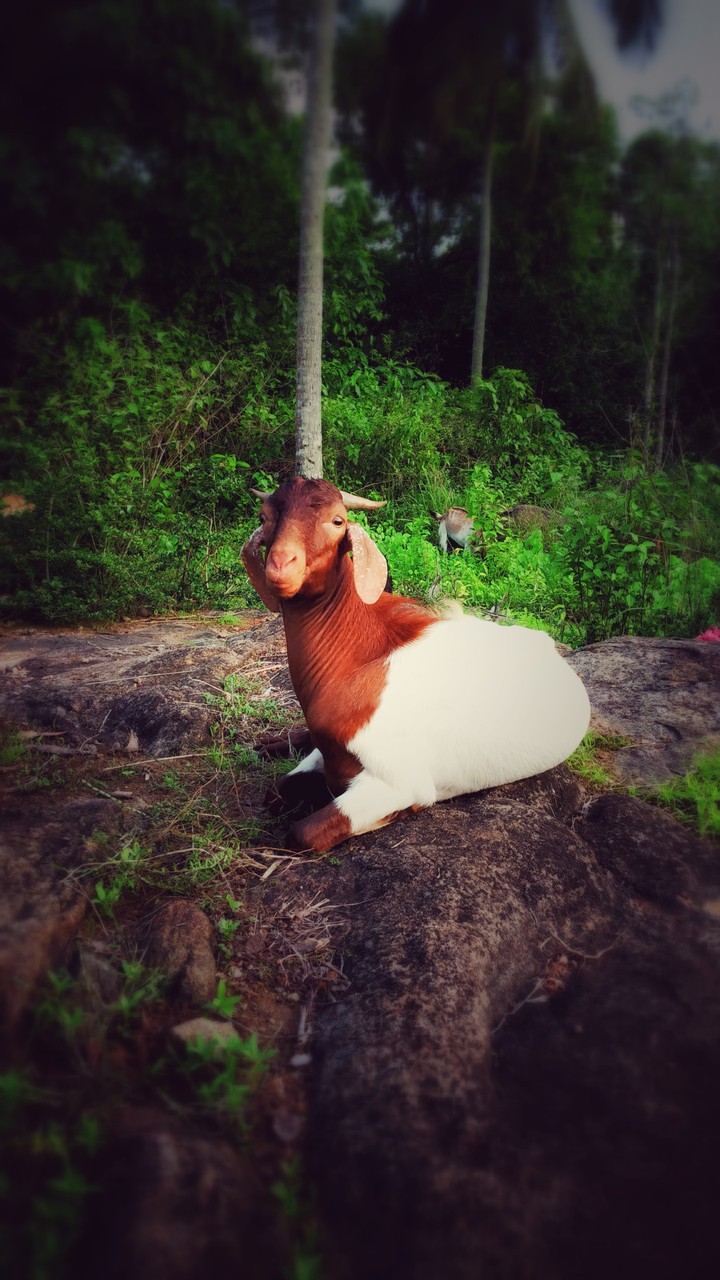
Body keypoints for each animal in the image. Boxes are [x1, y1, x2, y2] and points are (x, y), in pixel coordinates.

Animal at [242, 478, 590, 853]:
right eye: (264, 517)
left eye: (337, 521)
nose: (281, 566)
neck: (355, 658)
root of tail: (543, 643)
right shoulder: (329, 754)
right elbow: (274, 792)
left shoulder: (399, 782)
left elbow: (301, 832)